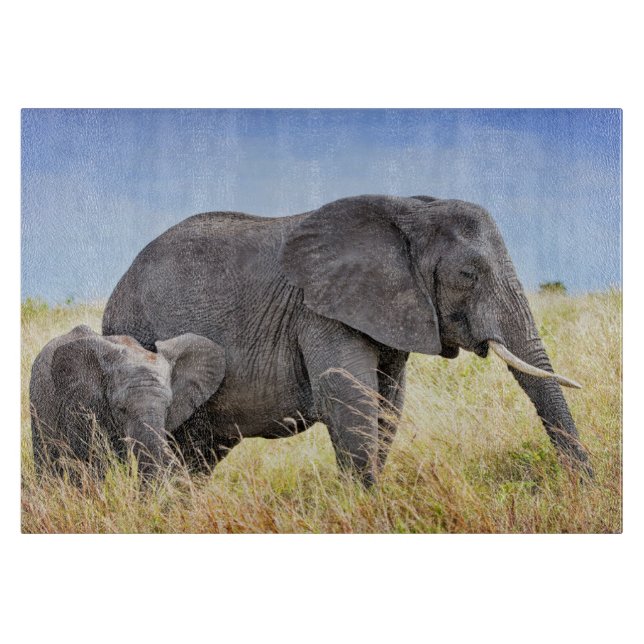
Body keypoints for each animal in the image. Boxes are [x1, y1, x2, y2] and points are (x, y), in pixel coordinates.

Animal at [102, 195, 592, 485]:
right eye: (467, 275)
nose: (582, 486)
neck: (409, 211)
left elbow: (387, 406)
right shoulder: (320, 312)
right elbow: (348, 398)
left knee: (198, 453)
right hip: (136, 330)